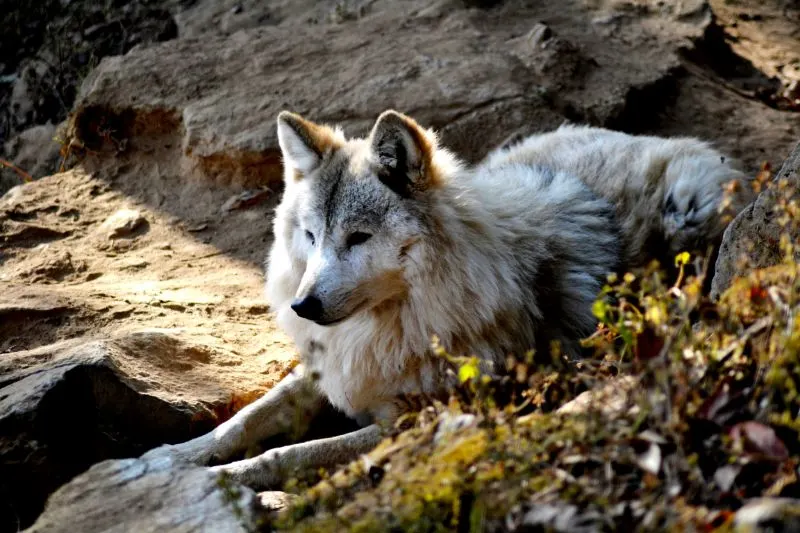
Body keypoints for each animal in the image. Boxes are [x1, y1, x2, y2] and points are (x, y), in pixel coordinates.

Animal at [144, 110, 752, 488]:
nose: (303, 306)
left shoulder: (412, 422)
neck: (398, 325)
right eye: (312, 237)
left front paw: (220, 479)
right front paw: (168, 460)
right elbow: (245, 421)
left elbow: (287, 452)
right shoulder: (331, 367)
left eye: (358, 237)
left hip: (687, 211)